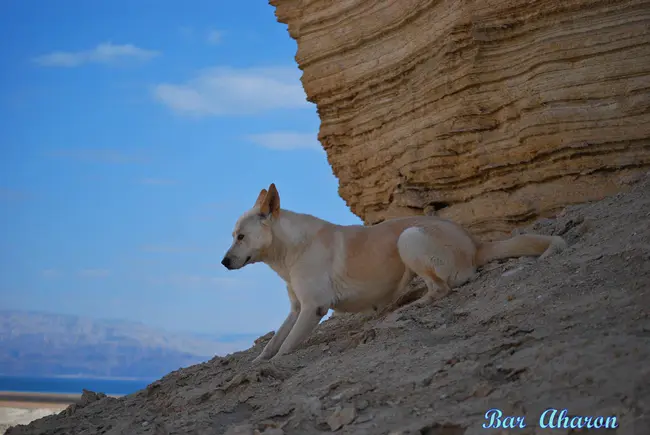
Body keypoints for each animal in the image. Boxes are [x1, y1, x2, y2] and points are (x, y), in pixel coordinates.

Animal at [220, 183, 564, 362]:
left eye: (241, 237)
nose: (223, 262)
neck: (288, 249)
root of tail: (475, 243)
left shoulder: (313, 308)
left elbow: (286, 347)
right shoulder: (296, 308)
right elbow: (274, 341)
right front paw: (258, 362)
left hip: (408, 237)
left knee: (442, 288)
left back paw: (406, 308)